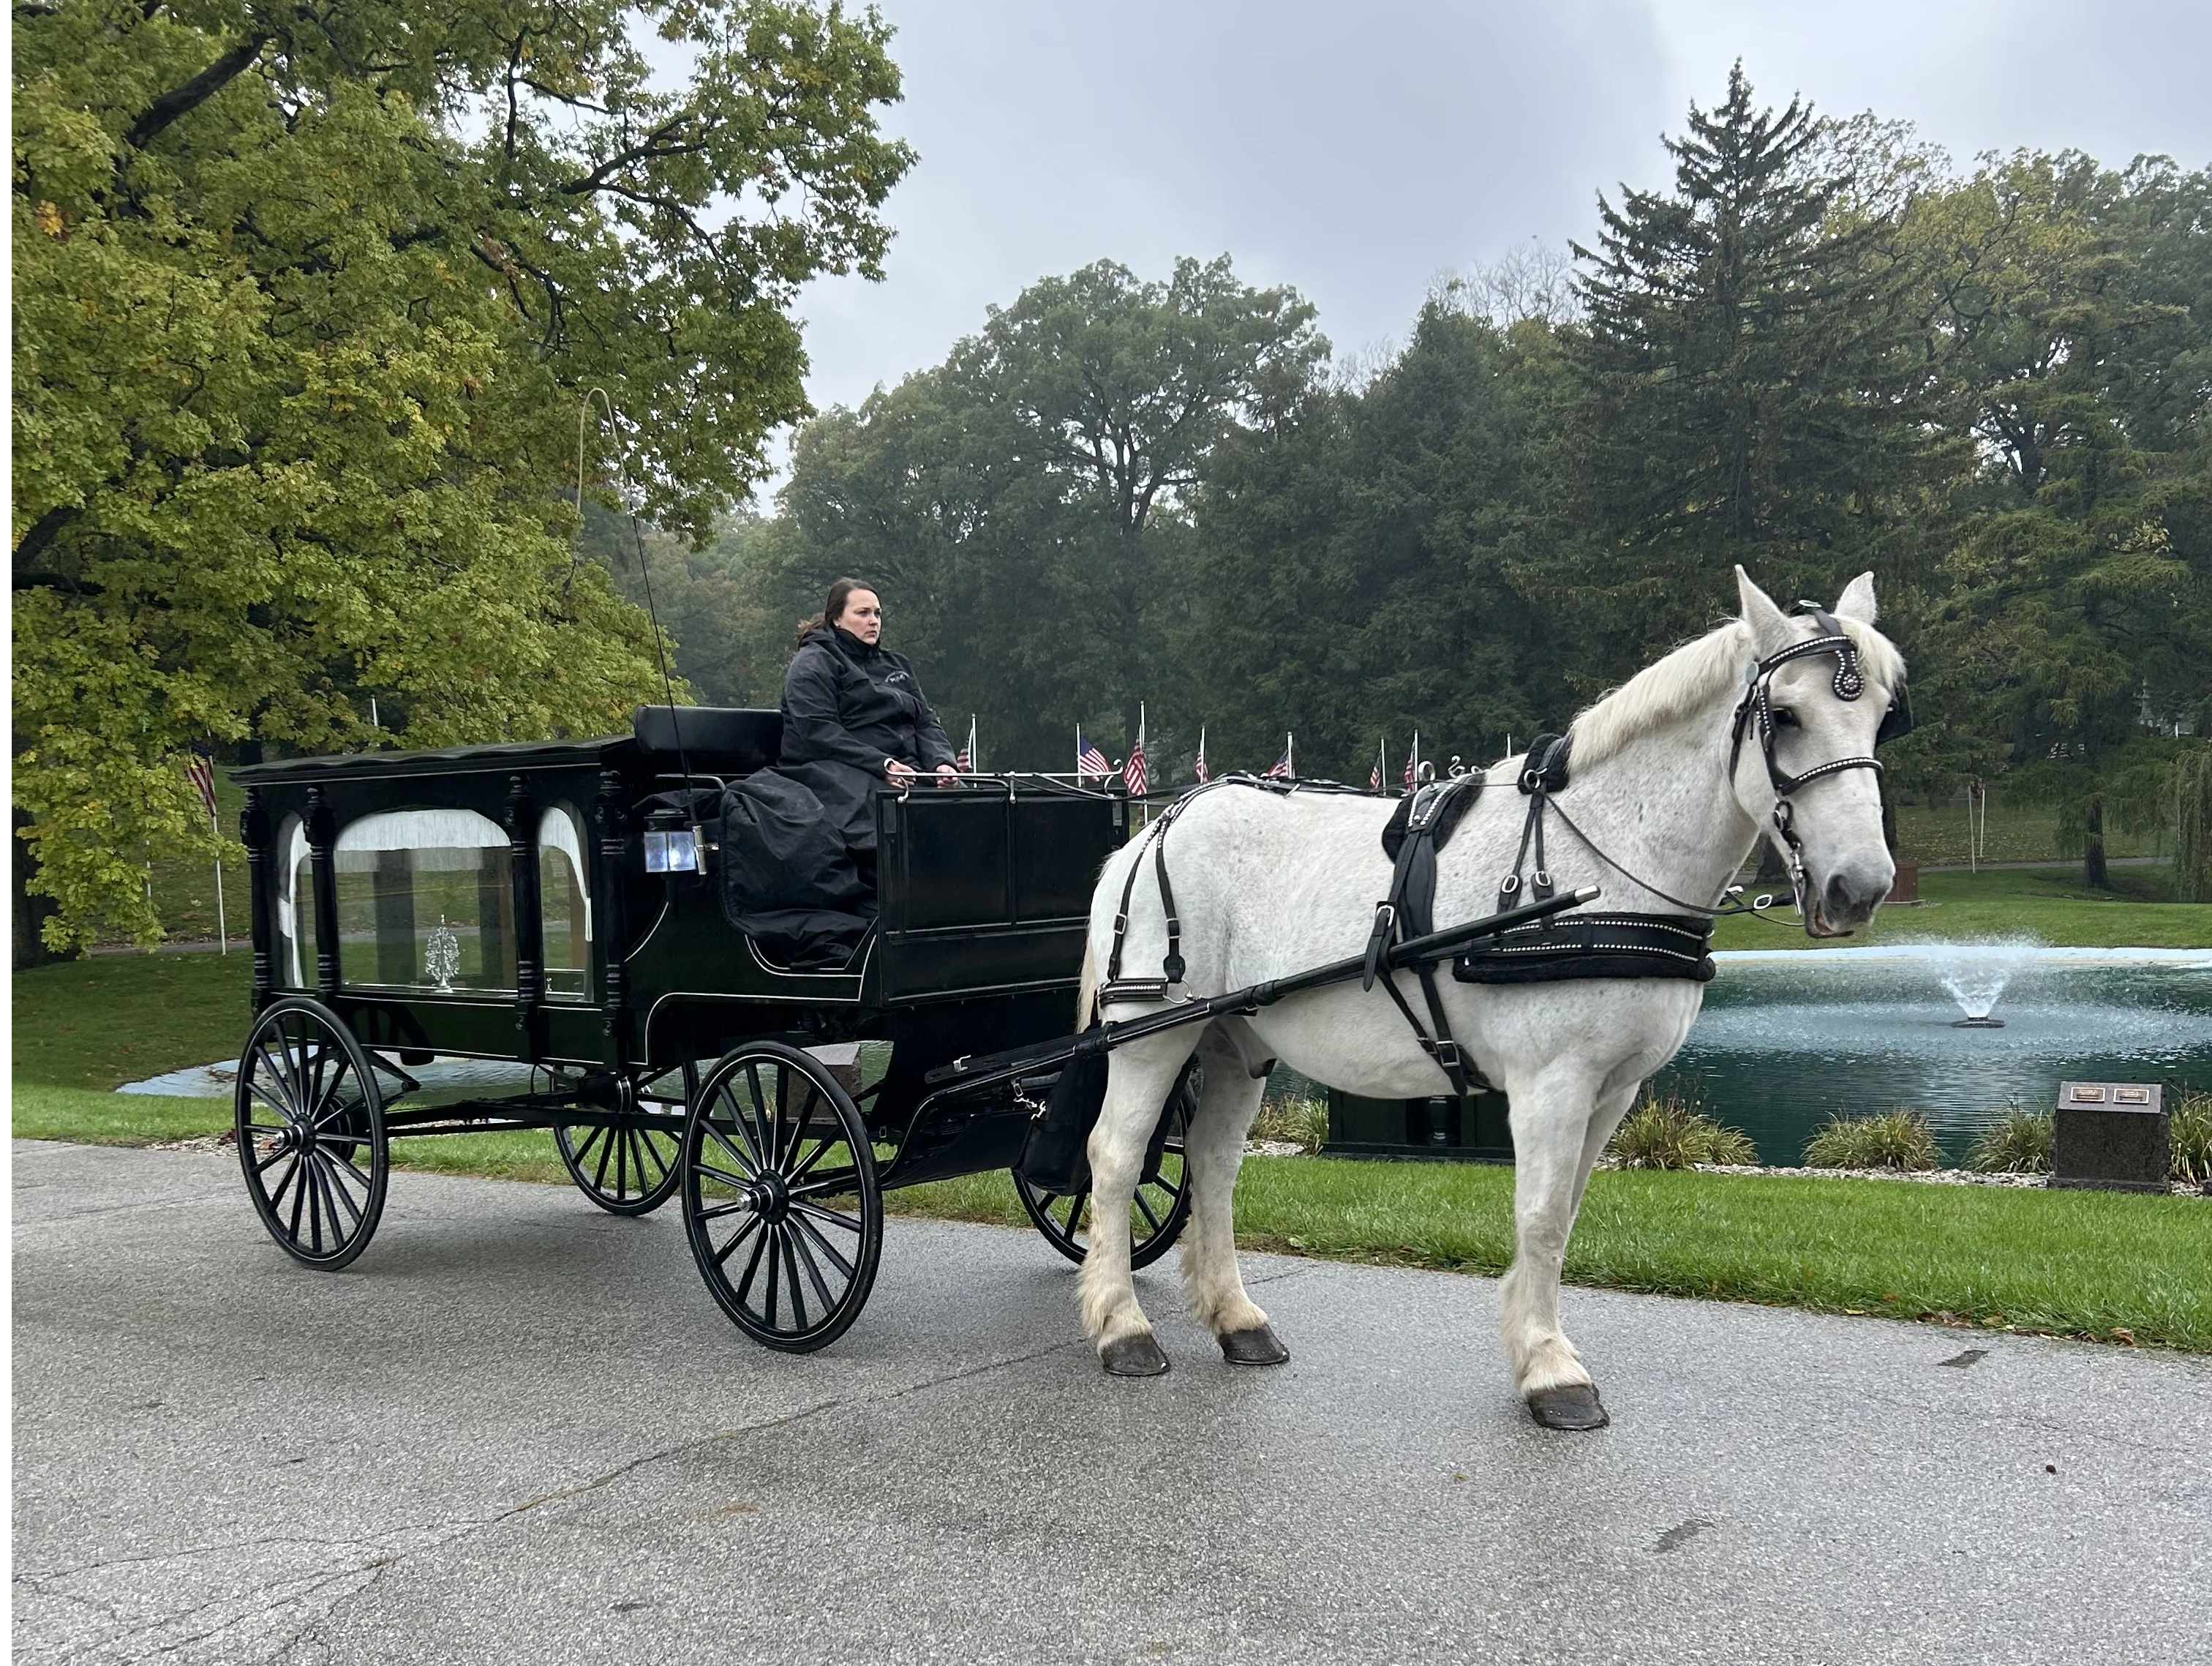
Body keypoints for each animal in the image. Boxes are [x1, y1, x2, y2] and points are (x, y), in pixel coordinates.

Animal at [1070, 566, 1902, 1425]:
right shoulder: (1551, 1081)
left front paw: (1546, 1349)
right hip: (1153, 1035)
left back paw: (1236, 1319)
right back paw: (1122, 1326)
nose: (1860, 886)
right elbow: (1539, 1217)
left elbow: (1566, 1214)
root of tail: (1152, 829)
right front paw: (1550, 1370)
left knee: (1211, 1163)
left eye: (1882, 717)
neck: (1596, 865)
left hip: (1236, 1044)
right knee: (1116, 1158)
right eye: (1785, 715)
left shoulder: (1614, 1089)